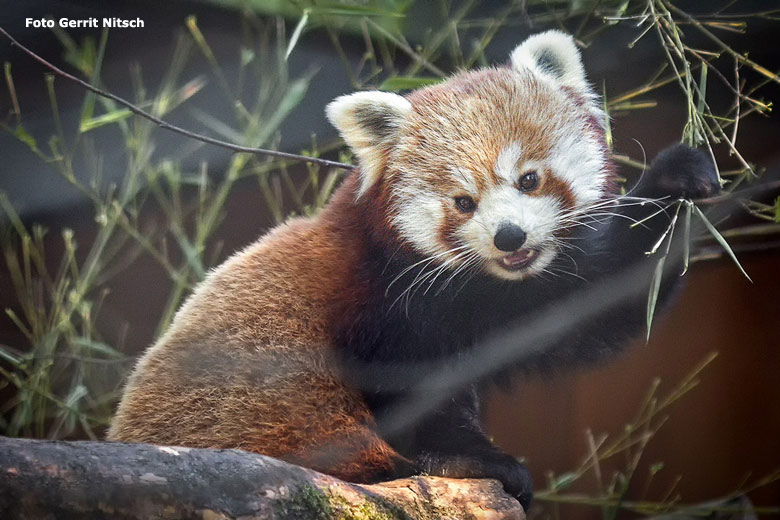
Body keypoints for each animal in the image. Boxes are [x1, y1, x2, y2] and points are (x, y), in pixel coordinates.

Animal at [109, 30, 720, 510]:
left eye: (529, 179)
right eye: (463, 203)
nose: (510, 237)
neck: (478, 289)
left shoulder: (506, 304)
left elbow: (595, 304)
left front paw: (675, 180)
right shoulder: (384, 304)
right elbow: (411, 397)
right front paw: (475, 461)